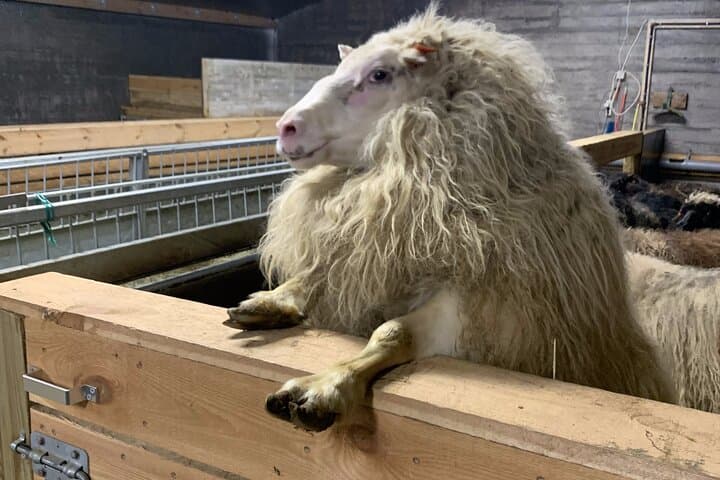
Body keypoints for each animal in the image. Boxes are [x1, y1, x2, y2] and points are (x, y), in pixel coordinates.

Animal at [226, 5, 675, 431]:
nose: (285, 127)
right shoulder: (372, 259)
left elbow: (393, 332)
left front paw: (325, 387)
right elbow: (317, 276)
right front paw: (270, 301)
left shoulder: (482, 310)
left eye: (380, 74)